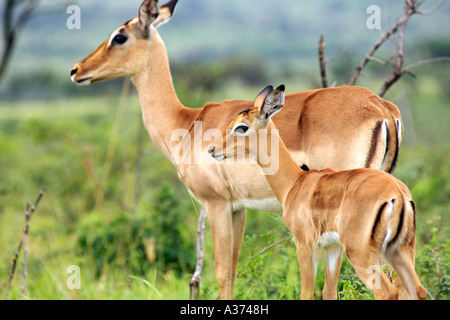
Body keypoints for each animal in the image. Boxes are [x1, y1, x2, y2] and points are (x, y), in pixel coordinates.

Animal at [209, 85, 428, 300]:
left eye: (241, 127)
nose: (212, 150)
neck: (296, 182)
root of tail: (397, 194)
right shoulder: (333, 248)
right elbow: (329, 292)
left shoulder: (304, 245)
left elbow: (306, 293)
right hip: (399, 250)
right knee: (417, 290)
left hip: (362, 253)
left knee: (388, 292)